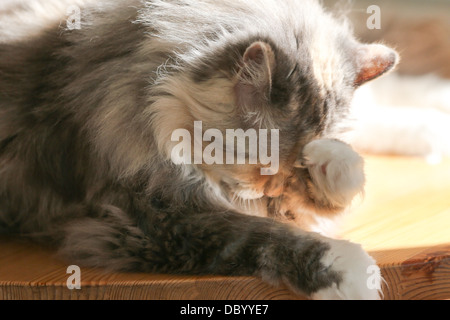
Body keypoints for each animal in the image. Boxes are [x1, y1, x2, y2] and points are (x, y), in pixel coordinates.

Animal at [0, 0, 398, 300]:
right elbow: (259, 234)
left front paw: (327, 161)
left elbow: (331, 191)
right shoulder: (152, 219)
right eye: (262, 169)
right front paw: (352, 270)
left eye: (292, 173)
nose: (272, 195)